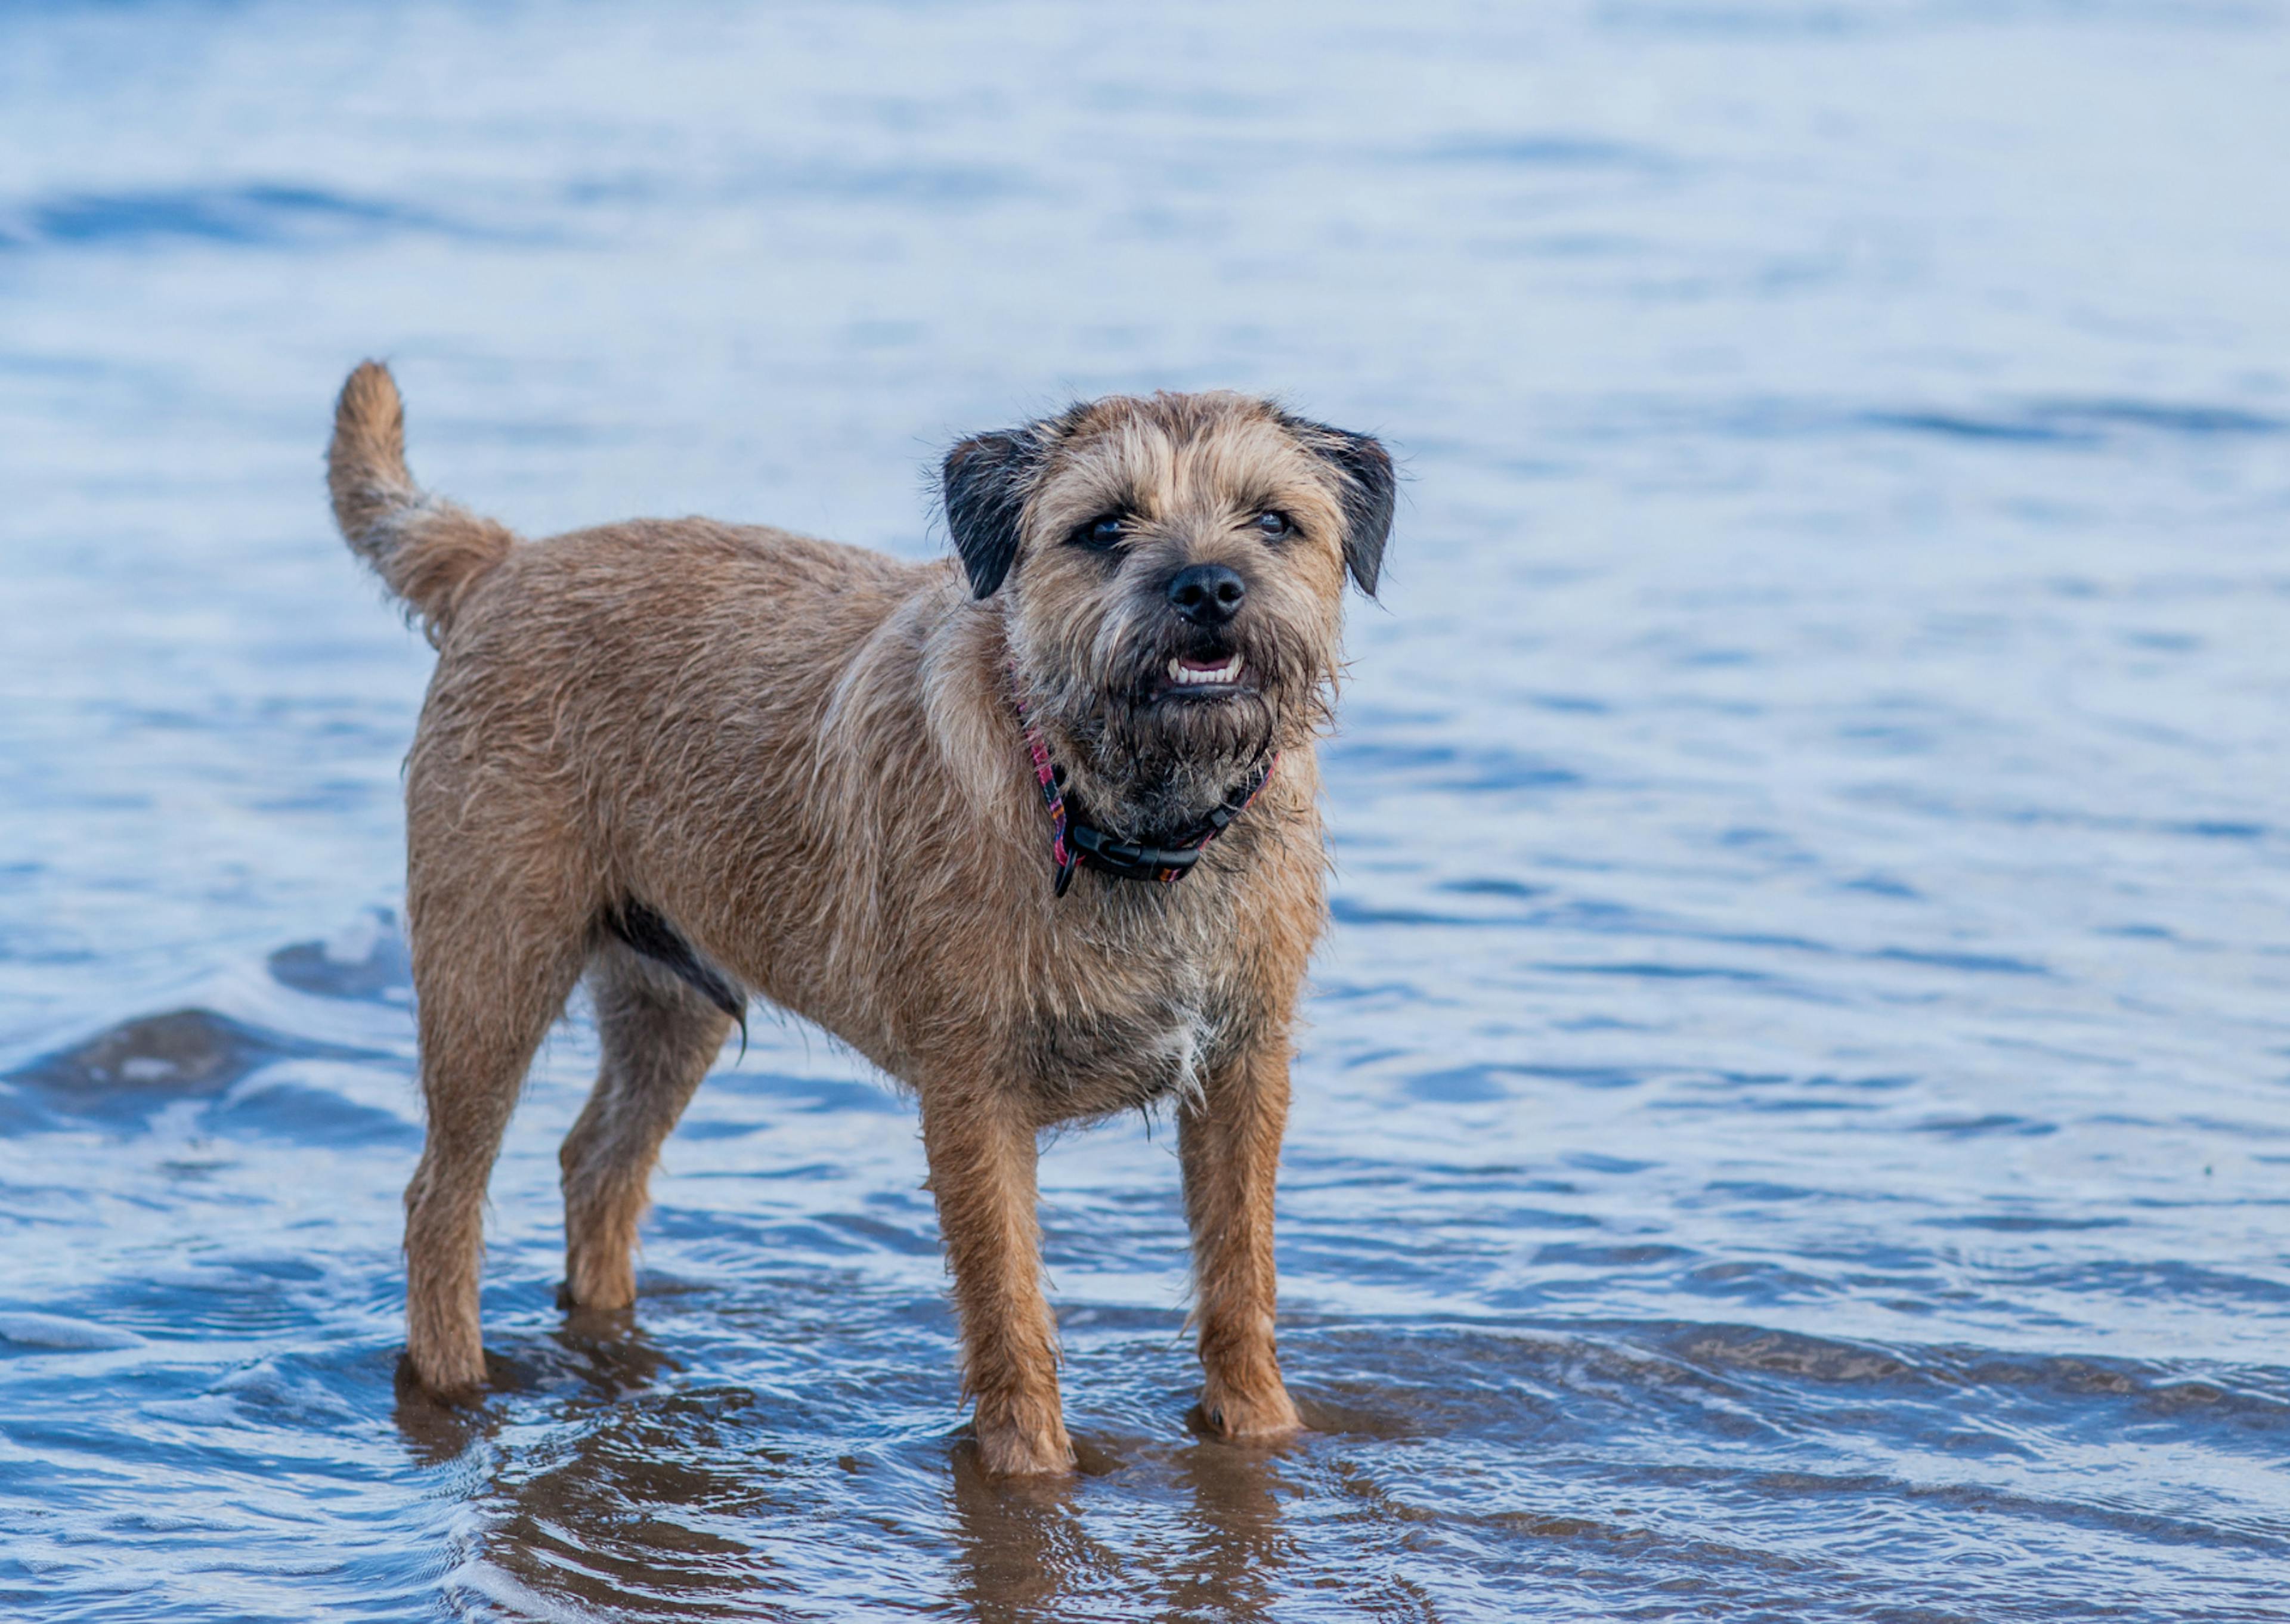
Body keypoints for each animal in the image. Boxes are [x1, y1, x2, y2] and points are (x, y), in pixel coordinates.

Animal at [327, 362, 1392, 1475]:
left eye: (1272, 521)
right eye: (1105, 527)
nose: (1209, 587)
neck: (1119, 819)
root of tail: (505, 560)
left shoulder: (1243, 1070)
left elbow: (1241, 1274)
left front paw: (1261, 1429)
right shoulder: (975, 1096)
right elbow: (1007, 1305)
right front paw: (1029, 1470)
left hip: (671, 999)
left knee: (598, 1165)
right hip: (490, 975)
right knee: (442, 1201)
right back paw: (455, 1384)